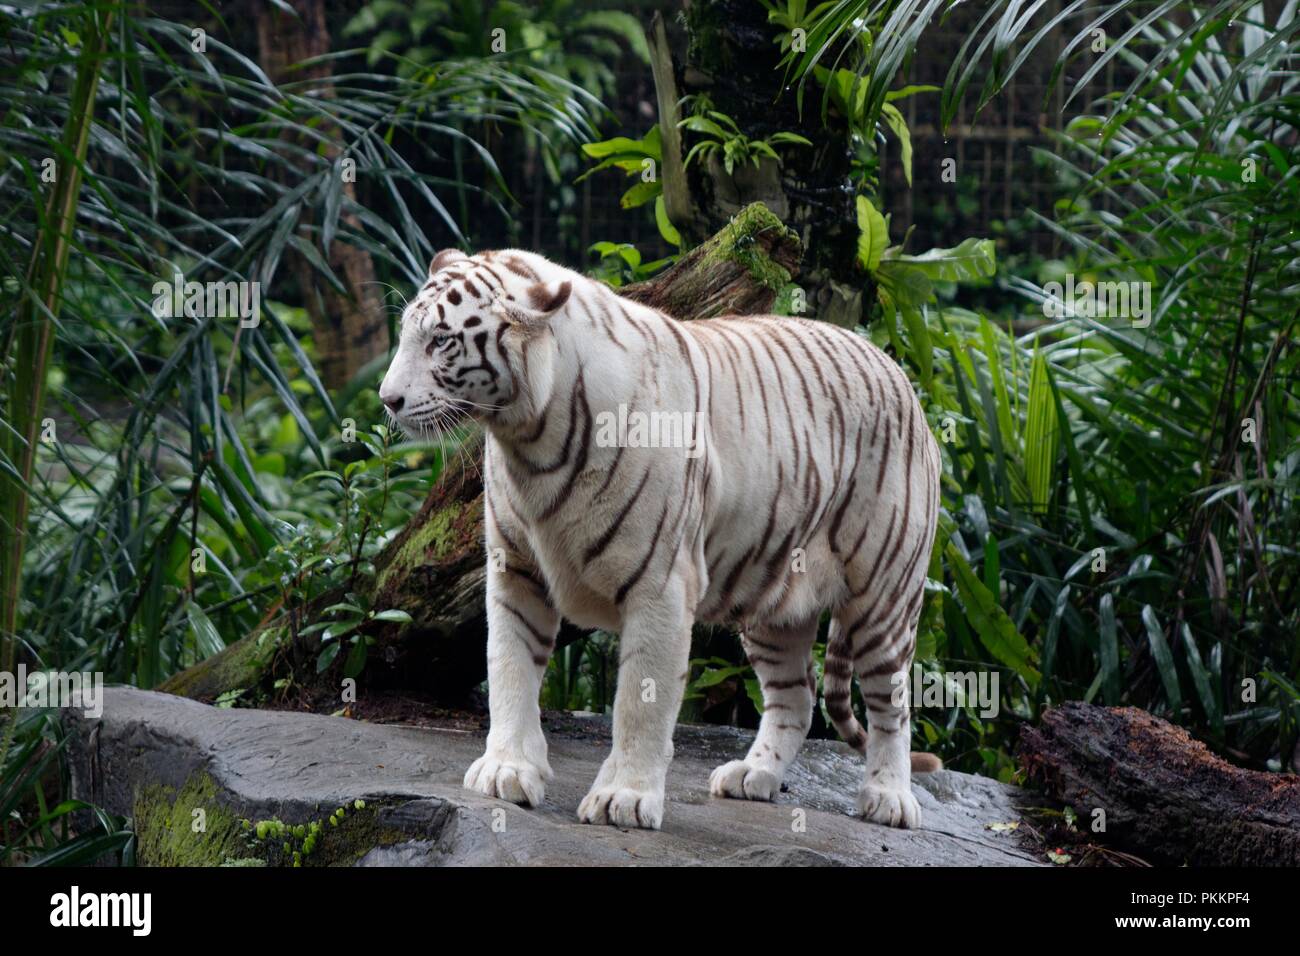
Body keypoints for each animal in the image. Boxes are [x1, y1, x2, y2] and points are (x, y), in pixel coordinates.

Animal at [379, 247, 941, 832]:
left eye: (441, 341)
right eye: (407, 333)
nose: (387, 399)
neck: (529, 440)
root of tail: (894, 368)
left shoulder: (660, 585)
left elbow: (639, 702)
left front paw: (623, 799)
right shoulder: (516, 571)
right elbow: (509, 670)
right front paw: (506, 771)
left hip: (884, 596)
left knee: (893, 704)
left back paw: (890, 800)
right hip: (773, 599)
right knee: (797, 696)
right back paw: (754, 775)